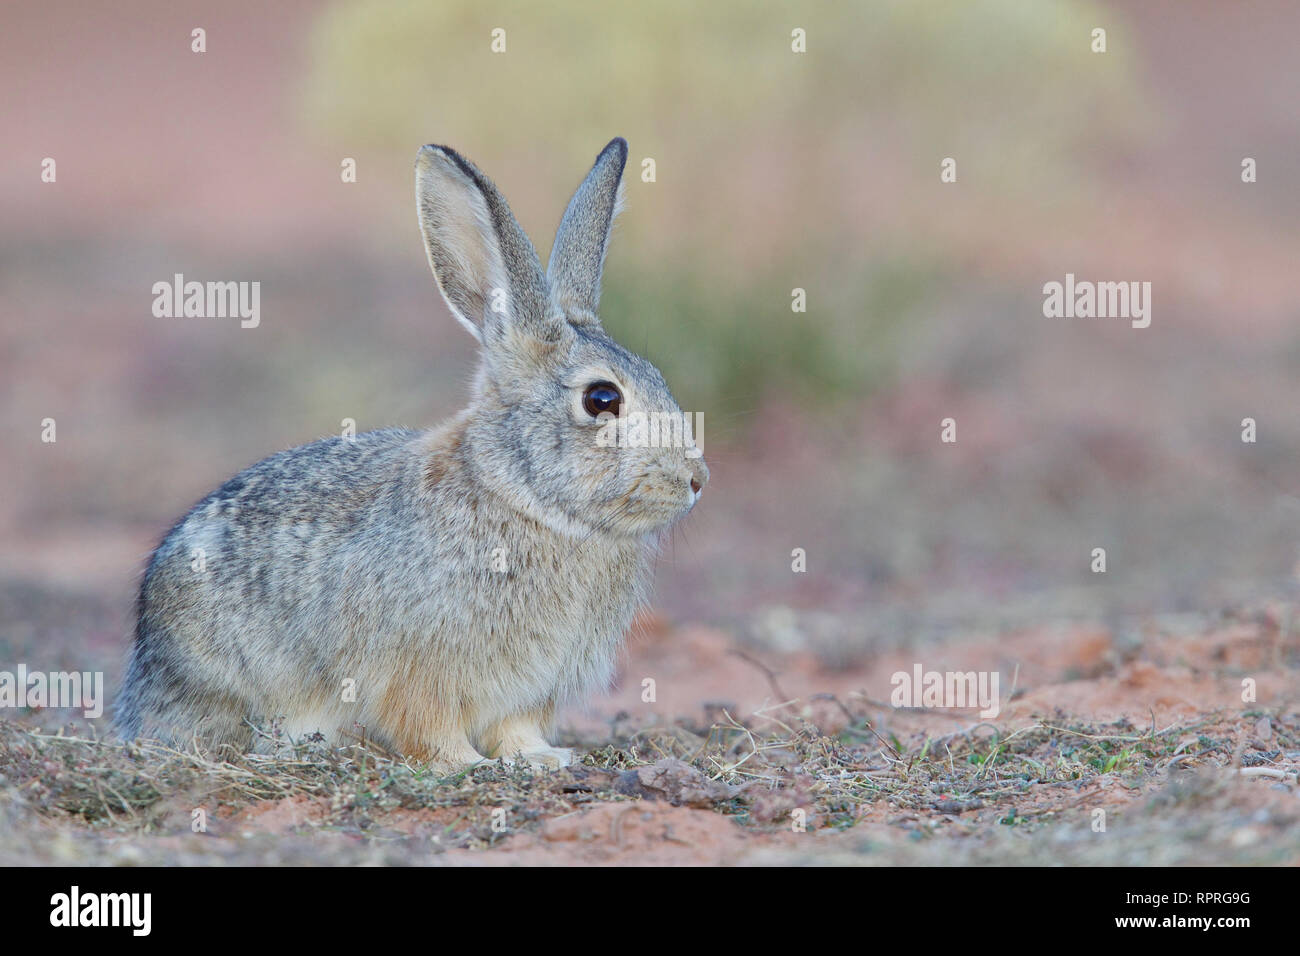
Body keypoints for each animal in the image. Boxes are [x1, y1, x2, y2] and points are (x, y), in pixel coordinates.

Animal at [119, 138, 712, 770]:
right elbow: (428, 726)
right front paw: (465, 764)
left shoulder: (530, 690)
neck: (528, 502)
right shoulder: (417, 670)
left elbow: (517, 728)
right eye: (602, 399)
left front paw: (541, 758)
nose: (697, 478)